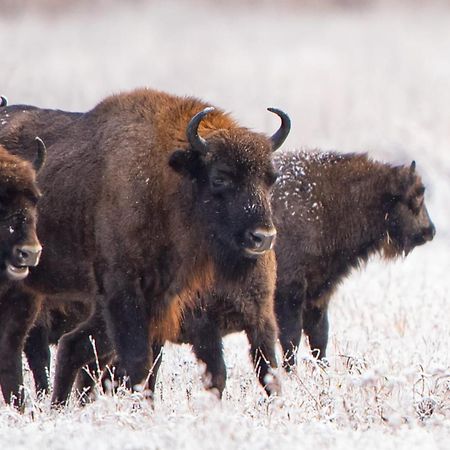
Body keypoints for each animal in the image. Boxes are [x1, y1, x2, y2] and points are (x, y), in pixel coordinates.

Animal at [0, 88, 290, 404]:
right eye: (220, 178)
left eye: (270, 178)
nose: (263, 236)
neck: (167, 180)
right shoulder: (123, 290)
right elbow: (138, 361)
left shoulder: (160, 299)